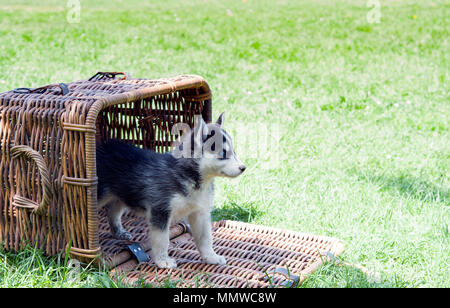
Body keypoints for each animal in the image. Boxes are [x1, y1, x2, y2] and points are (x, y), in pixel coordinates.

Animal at [96, 112, 246, 268]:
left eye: (234, 152)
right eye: (223, 153)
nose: (243, 168)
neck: (195, 179)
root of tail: (102, 146)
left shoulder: (200, 213)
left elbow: (205, 238)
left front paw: (211, 257)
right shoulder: (160, 210)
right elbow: (162, 240)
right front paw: (163, 261)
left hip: (120, 195)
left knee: (112, 210)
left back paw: (118, 232)